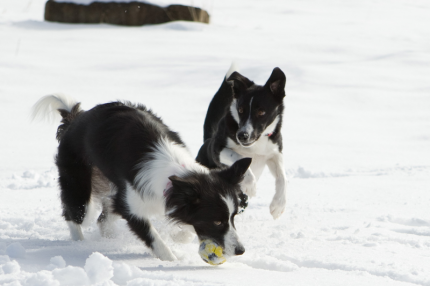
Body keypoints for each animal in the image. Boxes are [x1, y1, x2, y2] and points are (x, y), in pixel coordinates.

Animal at [33, 95, 252, 262]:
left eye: (233, 217)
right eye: (217, 222)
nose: (240, 250)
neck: (178, 171)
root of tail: (75, 117)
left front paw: (179, 236)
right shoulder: (132, 205)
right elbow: (153, 237)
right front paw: (171, 260)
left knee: (103, 220)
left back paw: (109, 240)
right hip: (79, 182)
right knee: (75, 214)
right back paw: (78, 245)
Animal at [197, 65, 288, 219]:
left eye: (261, 112)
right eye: (240, 110)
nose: (242, 136)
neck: (256, 143)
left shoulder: (274, 153)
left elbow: (283, 177)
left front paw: (278, 205)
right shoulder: (217, 149)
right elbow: (239, 157)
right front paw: (250, 185)